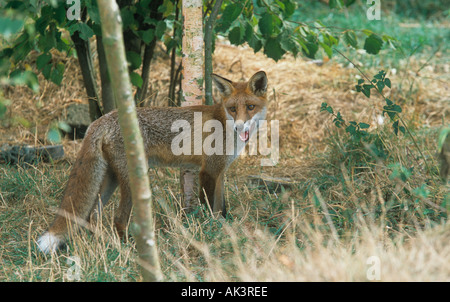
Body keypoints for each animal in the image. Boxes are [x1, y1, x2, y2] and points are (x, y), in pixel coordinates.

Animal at [37, 70, 268, 252]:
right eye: (233, 109)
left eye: (250, 107)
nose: (240, 127)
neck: (223, 124)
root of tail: (101, 120)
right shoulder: (208, 171)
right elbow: (210, 208)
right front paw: (210, 231)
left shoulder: (220, 172)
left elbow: (222, 207)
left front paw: (224, 228)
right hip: (132, 179)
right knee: (118, 218)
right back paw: (127, 248)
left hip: (110, 178)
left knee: (88, 216)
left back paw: (92, 245)